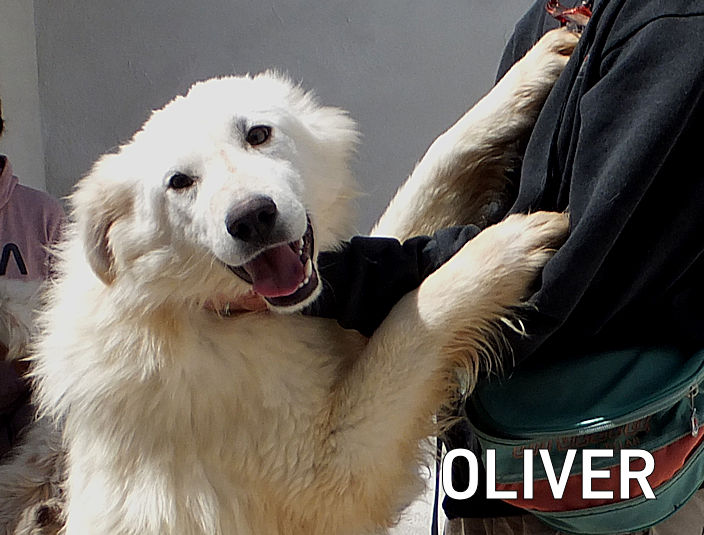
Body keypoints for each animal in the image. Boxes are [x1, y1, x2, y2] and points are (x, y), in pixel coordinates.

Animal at [6, 28, 577, 534]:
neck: (216, 311)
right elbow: (415, 321)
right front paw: (504, 249)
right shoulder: (329, 470)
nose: (252, 218)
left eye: (258, 134)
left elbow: (433, 169)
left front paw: (530, 75)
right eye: (179, 182)